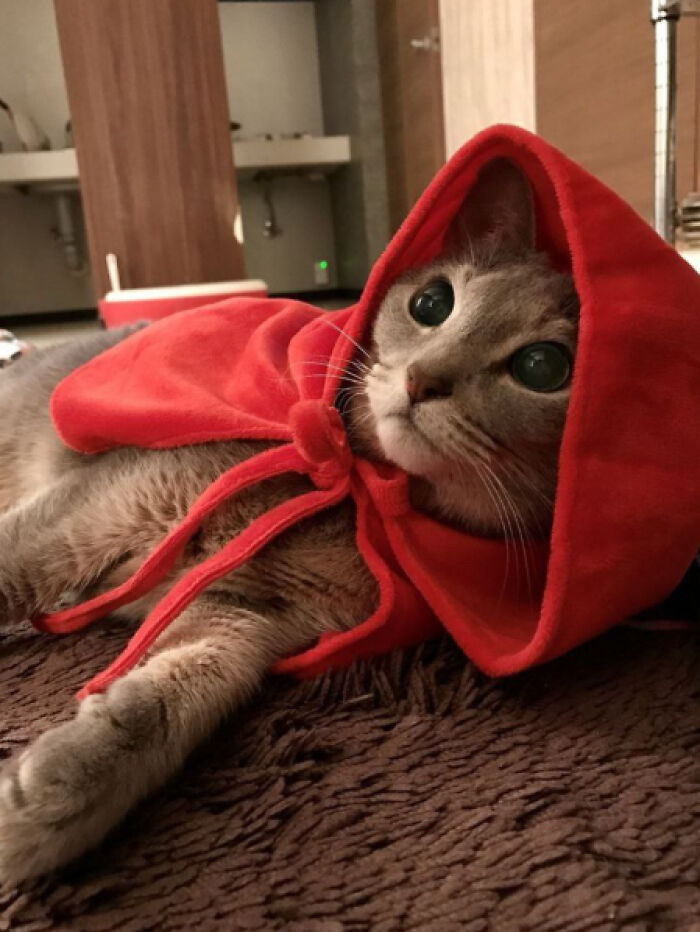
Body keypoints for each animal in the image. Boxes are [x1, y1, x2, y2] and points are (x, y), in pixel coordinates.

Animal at [0, 160, 580, 880]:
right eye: (431, 304)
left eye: (542, 366)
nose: (422, 379)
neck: (352, 501)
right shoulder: (103, 504)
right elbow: (15, 567)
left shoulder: (250, 617)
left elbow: (176, 696)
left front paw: (60, 790)